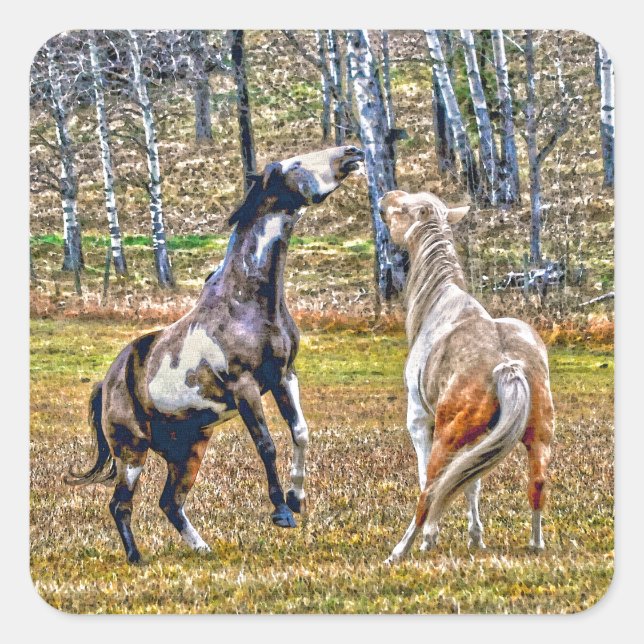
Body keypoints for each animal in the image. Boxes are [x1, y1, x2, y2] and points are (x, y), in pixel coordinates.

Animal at [66, 145, 365, 563]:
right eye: (296, 164)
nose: (351, 153)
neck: (248, 302)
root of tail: (106, 384)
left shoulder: (284, 376)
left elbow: (300, 432)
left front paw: (297, 498)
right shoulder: (244, 386)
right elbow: (266, 444)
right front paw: (281, 512)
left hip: (188, 451)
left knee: (169, 503)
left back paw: (203, 548)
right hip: (132, 452)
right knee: (121, 504)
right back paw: (136, 558)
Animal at [378, 190, 554, 563]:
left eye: (403, 208)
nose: (386, 198)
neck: (438, 302)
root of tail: (507, 365)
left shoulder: (419, 419)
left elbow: (432, 481)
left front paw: (431, 538)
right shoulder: (482, 436)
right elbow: (471, 482)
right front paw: (476, 537)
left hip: (447, 435)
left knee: (431, 489)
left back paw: (401, 550)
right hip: (539, 435)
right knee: (537, 484)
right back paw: (536, 543)